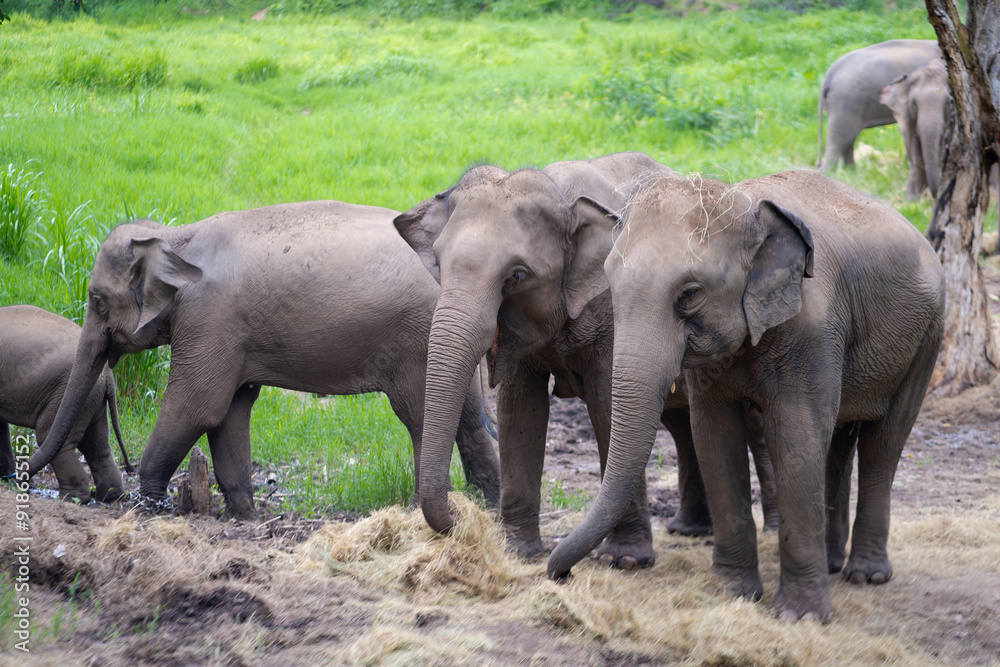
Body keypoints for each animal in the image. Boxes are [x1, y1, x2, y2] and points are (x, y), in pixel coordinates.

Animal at [1, 305, 132, 502]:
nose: (15, 480)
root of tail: (107, 374)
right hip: (93, 400)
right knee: (97, 445)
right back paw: (112, 497)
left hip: (65, 394)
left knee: (53, 437)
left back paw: (70, 498)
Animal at [27, 201, 501, 518]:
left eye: (96, 301)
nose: (20, 478)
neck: (174, 236)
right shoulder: (230, 335)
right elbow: (229, 412)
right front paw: (244, 514)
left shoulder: (209, 318)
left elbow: (196, 406)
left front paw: (150, 505)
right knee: (467, 418)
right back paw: (487, 503)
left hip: (415, 340)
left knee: (419, 416)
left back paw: (424, 509)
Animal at [394, 152, 779, 569]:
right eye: (438, 262)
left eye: (517, 275)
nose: (457, 517)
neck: (562, 194)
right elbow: (519, 411)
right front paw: (519, 552)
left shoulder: (612, 317)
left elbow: (606, 407)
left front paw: (624, 560)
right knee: (681, 424)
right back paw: (688, 530)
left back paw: (770, 529)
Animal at [547, 170, 945, 622]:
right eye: (610, 284)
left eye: (689, 294)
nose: (562, 575)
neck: (746, 203)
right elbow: (715, 440)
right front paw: (732, 593)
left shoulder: (813, 331)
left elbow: (795, 440)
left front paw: (798, 617)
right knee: (838, 445)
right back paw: (831, 564)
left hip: (927, 339)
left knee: (883, 445)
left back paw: (866, 575)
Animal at [880, 58, 950, 200]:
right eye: (914, 104)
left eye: (948, 103)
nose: (935, 195)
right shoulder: (908, 119)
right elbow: (915, 150)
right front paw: (912, 199)